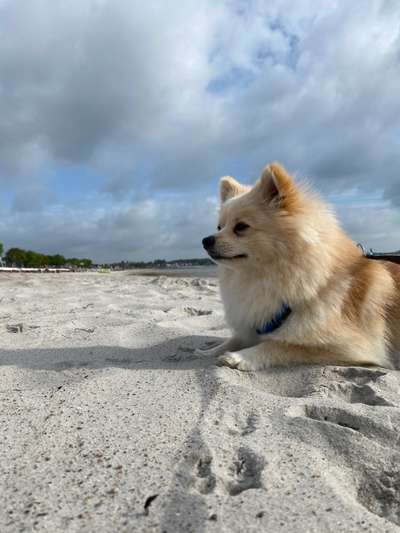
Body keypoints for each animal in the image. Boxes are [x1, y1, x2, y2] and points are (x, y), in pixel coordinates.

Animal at [202, 162, 398, 370]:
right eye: (219, 227)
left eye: (241, 227)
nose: (206, 240)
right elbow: (235, 339)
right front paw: (208, 351)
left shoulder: (352, 346)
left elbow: (279, 345)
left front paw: (241, 357)